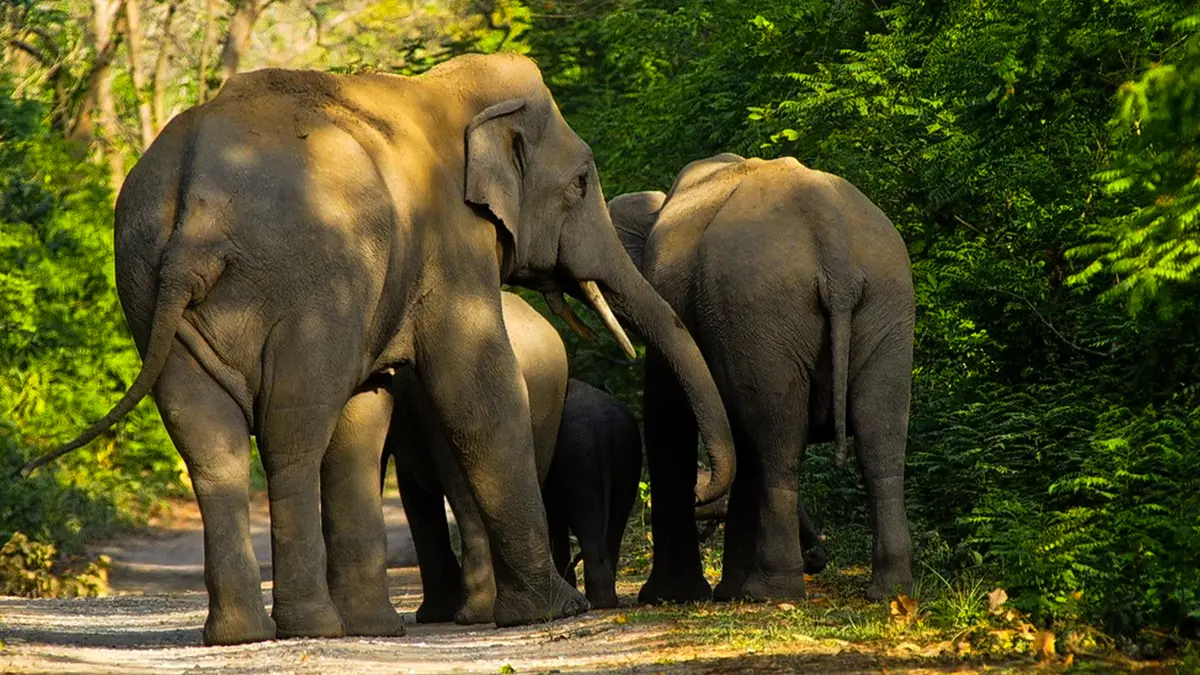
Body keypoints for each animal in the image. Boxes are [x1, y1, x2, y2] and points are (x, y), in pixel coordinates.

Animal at [545, 379, 643, 609]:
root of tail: (601, 430)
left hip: (578, 460)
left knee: (587, 524)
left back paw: (598, 602)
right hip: (627, 453)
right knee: (615, 525)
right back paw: (606, 600)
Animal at [610, 153, 915, 604]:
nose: (817, 559)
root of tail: (830, 235)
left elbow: (668, 417)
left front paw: (671, 597)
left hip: (766, 308)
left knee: (778, 440)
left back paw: (768, 593)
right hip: (879, 303)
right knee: (879, 437)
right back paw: (888, 592)